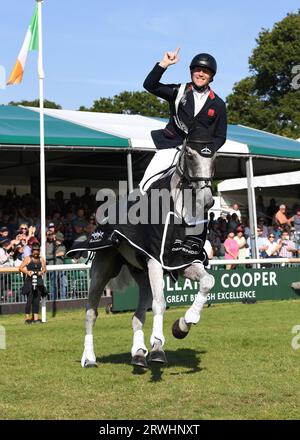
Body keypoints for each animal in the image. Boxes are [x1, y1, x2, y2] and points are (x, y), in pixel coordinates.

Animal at [81, 141, 217, 368]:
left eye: (214, 157)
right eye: (190, 156)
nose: (207, 200)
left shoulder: (183, 262)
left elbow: (208, 281)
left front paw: (184, 324)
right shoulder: (155, 262)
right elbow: (160, 303)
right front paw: (158, 348)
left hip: (143, 277)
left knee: (137, 317)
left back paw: (138, 354)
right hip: (103, 269)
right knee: (91, 312)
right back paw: (89, 358)